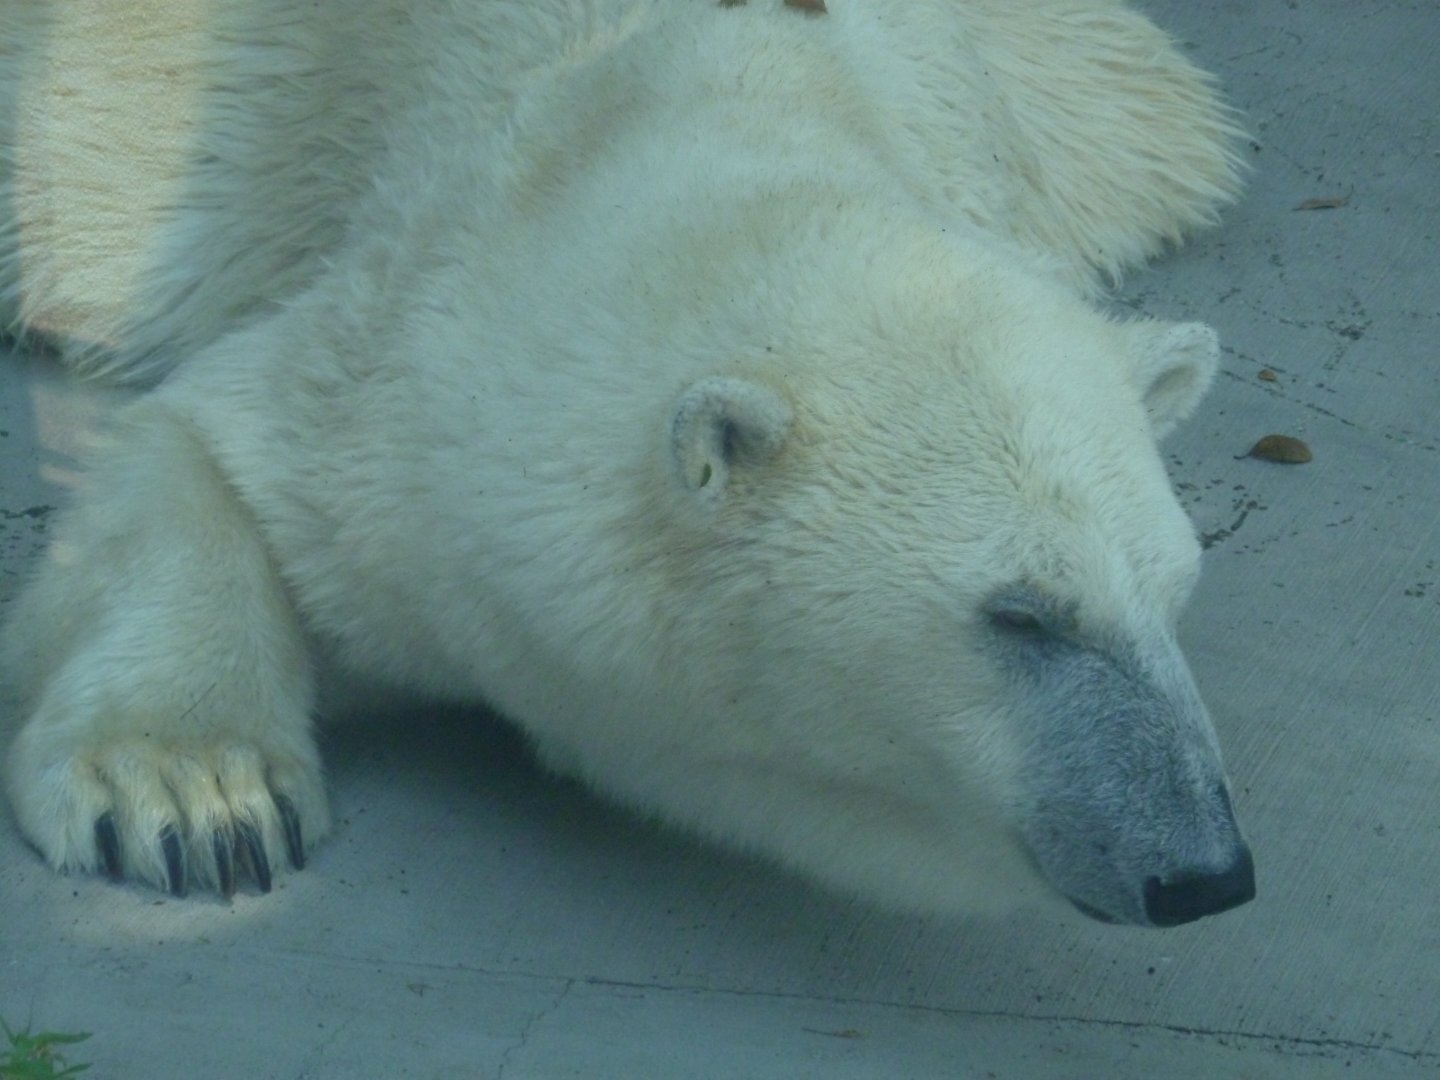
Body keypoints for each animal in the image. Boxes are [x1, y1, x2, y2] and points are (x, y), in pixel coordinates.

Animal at [0, 0, 1255, 927]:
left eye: (1175, 594)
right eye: (1022, 614)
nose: (1205, 872)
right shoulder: (391, 393)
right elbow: (206, 447)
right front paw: (194, 799)